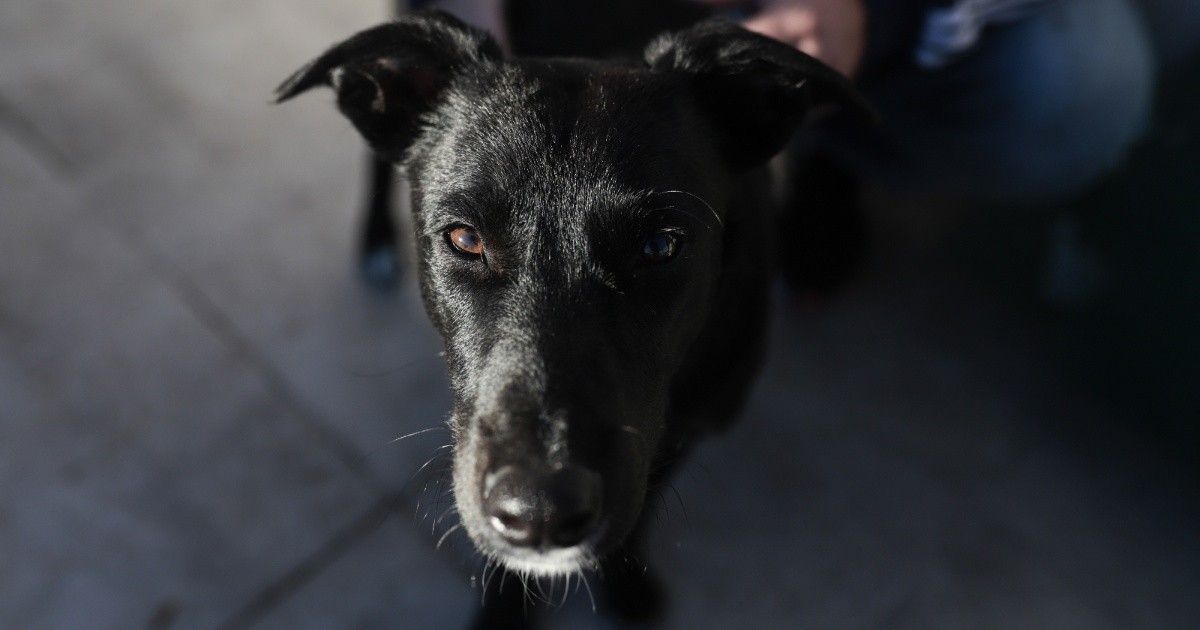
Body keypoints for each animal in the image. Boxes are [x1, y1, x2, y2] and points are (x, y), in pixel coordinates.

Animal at [276, 9, 868, 624]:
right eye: (465, 239)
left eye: (660, 245)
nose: (539, 511)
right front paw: (506, 613)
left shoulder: (686, 424)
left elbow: (642, 501)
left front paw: (623, 584)